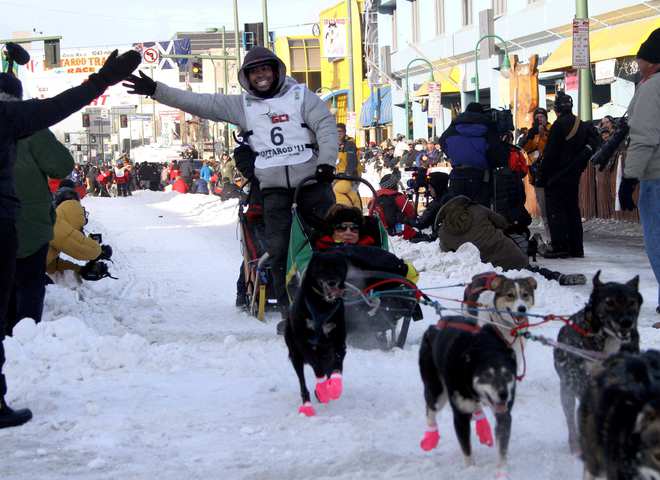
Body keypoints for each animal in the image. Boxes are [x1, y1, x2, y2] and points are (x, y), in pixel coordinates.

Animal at [284, 251, 350, 416]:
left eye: (337, 267)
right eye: (322, 268)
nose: (332, 282)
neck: (322, 305)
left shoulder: (339, 342)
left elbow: (337, 367)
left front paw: (334, 388)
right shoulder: (304, 344)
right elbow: (318, 368)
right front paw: (323, 390)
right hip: (295, 355)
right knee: (303, 383)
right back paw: (308, 404)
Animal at [418, 316, 520, 470]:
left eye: (507, 374)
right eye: (487, 375)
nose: (504, 395)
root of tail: (433, 327)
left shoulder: (503, 414)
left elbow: (502, 448)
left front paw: (502, 470)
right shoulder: (460, 416)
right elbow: (466, 448)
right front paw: (471, 469)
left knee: (476, 408)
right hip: (437, 392)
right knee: (430, 410)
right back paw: (431, 437)